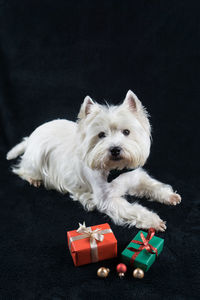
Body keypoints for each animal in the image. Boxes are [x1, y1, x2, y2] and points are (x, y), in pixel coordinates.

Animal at [6, 90, 181, 231]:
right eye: (101, 135)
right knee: (22, 170)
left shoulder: (136, 177)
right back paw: (34, 179)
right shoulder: (107, 200)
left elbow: (152, 184)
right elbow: (133, 209)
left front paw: (169, 195)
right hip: (35, 159)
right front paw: (153, 220)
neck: (115, 170)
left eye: (126, 132)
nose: (115, 149)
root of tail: (31, 136)